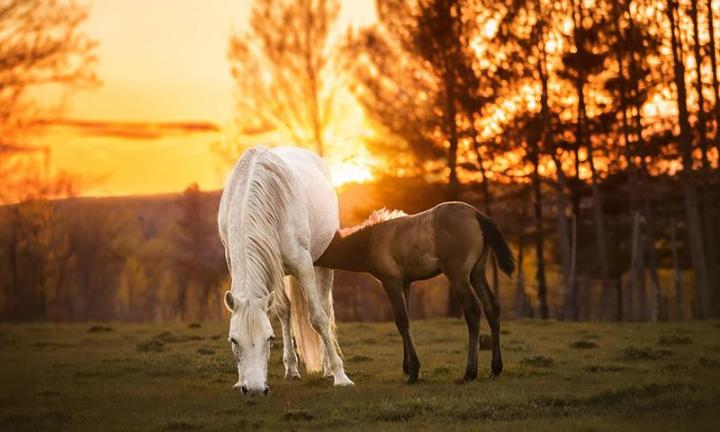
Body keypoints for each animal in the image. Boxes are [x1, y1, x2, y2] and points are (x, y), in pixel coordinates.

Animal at [218, 146, 353, 395]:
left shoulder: (303, 264)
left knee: (325, 309)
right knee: (286, 310)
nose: (253, 390)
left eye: (269, 338)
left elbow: (318, 318)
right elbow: (282, 311)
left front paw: (341, 376)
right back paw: (293, 368)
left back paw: (328, 367)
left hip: (322, 262)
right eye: (233, 340)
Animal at [315, 202, 515, 384]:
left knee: (472, 310)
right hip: (477, 273)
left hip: (458, 275)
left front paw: (414, 372)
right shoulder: (406, 283)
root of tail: (478, 215)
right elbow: (407, 319)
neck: (372, 241)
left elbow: (401, 320)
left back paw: (469, 373)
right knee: (492, 307)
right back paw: (496, 368)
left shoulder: (391, 282)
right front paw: (407, 366)